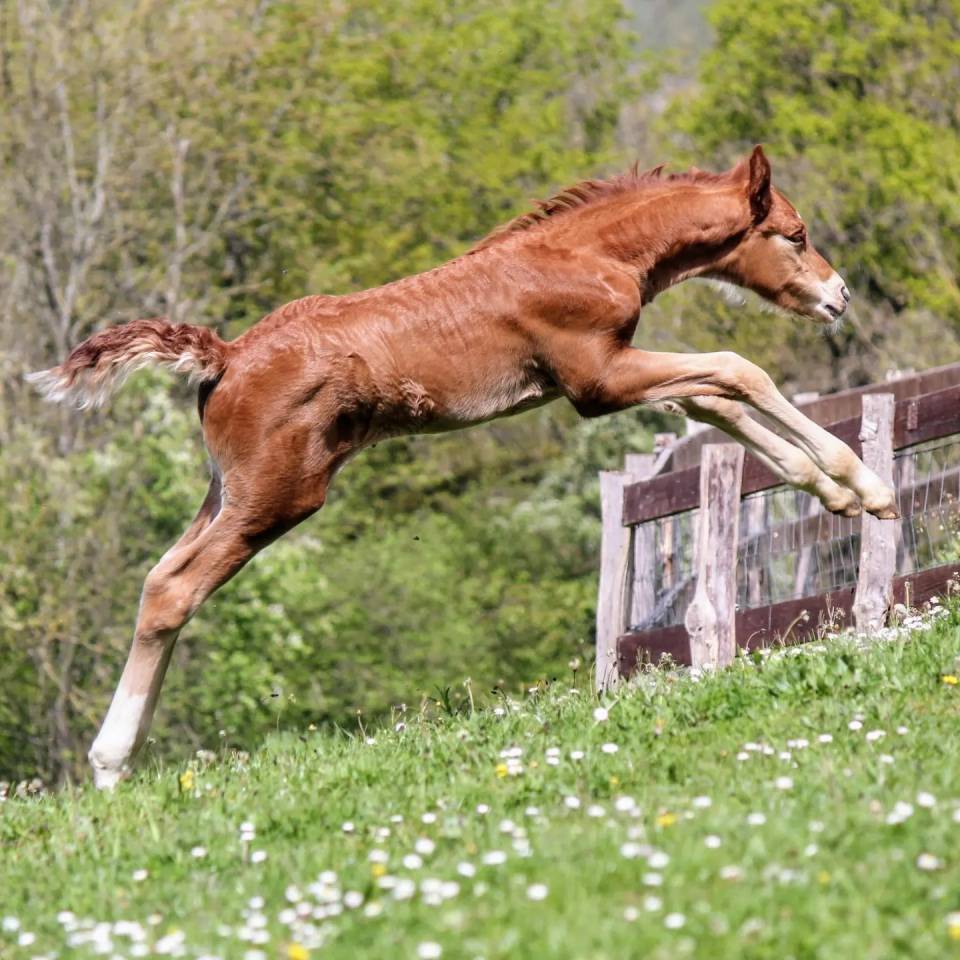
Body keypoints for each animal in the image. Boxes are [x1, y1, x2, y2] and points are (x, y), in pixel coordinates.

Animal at [28, 146, 898, 788]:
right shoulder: (595, 381)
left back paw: (115, 762)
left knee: (158, 575)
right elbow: (737, 371)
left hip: (226, 490)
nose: (840, 297)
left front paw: (837, 492)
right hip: (277, 495)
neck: (585, 253)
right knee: (175, 589)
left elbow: (715, 400)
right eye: (794, 233)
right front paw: (868, 485)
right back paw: (111, 764)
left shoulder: (612, 376)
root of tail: (227, 354)